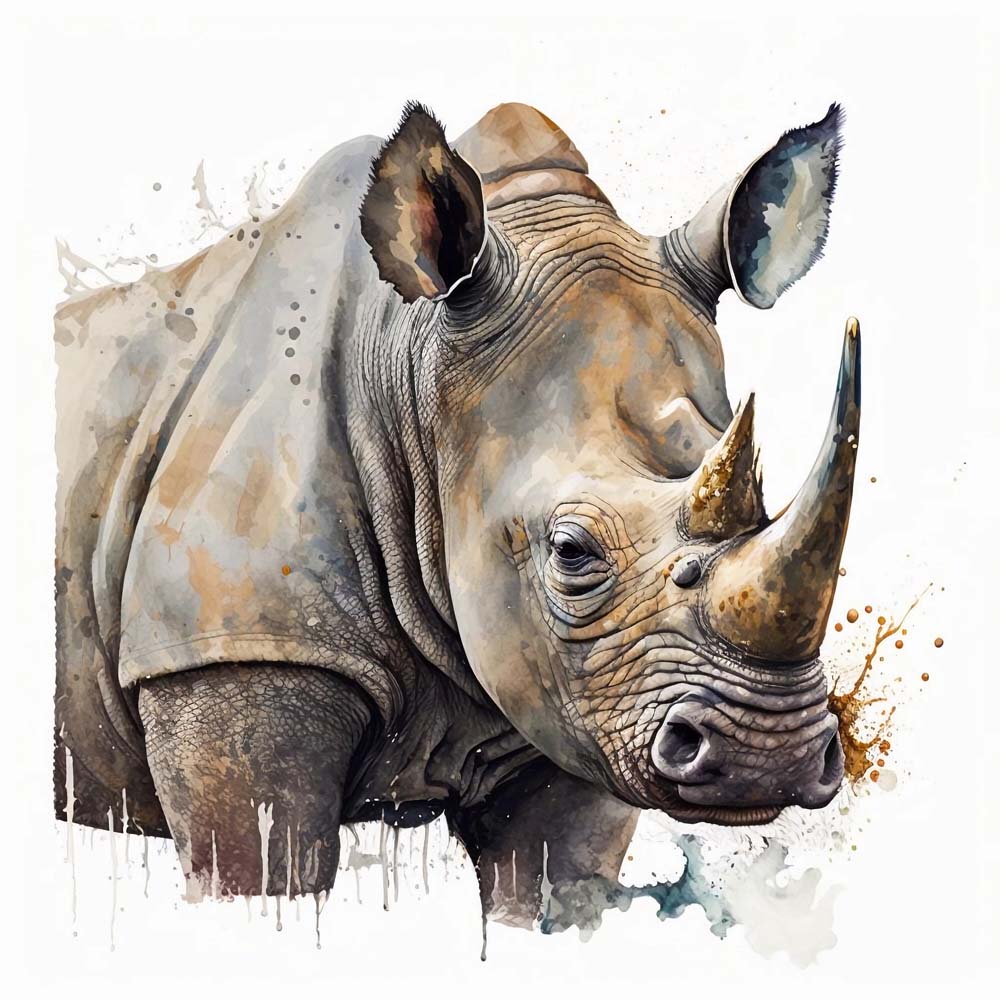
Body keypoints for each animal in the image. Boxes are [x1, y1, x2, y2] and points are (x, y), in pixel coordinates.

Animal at [54, 100, 859, 926]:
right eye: (571, 551)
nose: (766, 756)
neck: (410, 370)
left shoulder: (578, 703)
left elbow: (552, 880)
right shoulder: (232, 647)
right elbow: (261, 871)